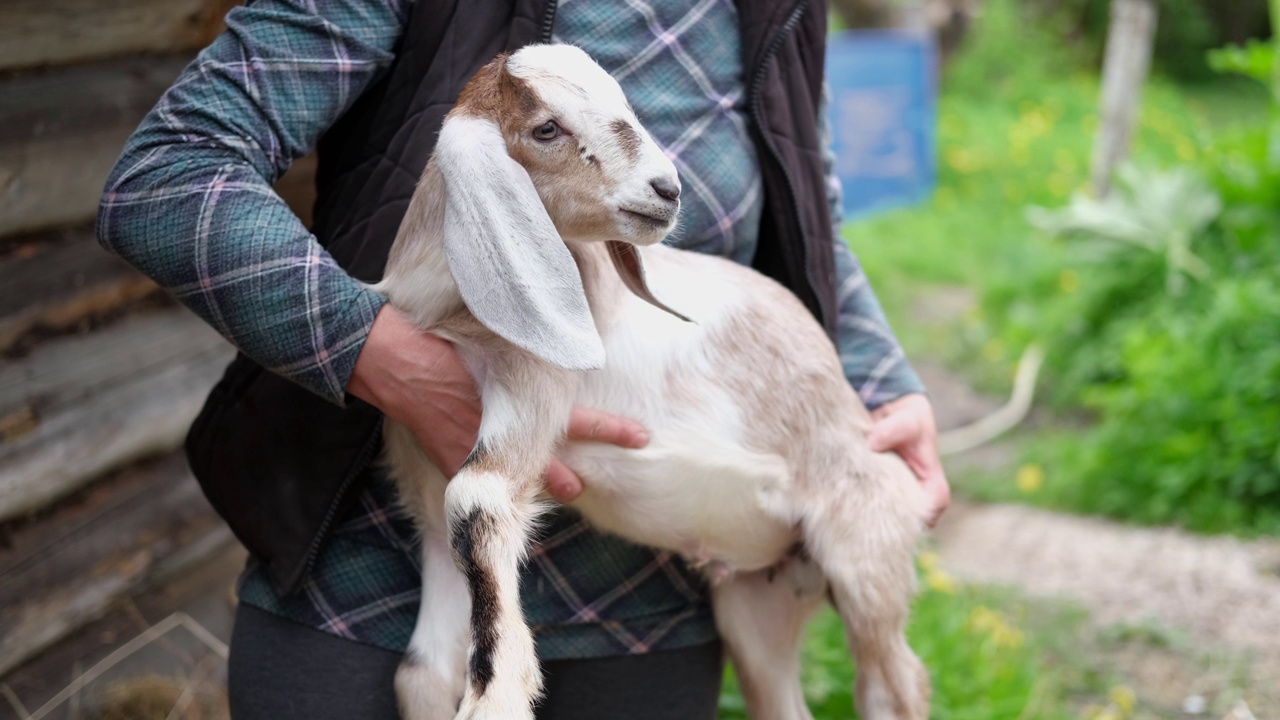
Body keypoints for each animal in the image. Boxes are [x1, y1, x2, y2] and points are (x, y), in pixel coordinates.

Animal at [371, 44, 931, 717]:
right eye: (546, 128)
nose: (666, 189)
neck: (443, 311)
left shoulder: (531, 386)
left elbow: (477, 499)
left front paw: (498, 694)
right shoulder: (423, 472)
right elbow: (422, 670)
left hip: (864, 553)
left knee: (893, 682)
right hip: (758, 602)